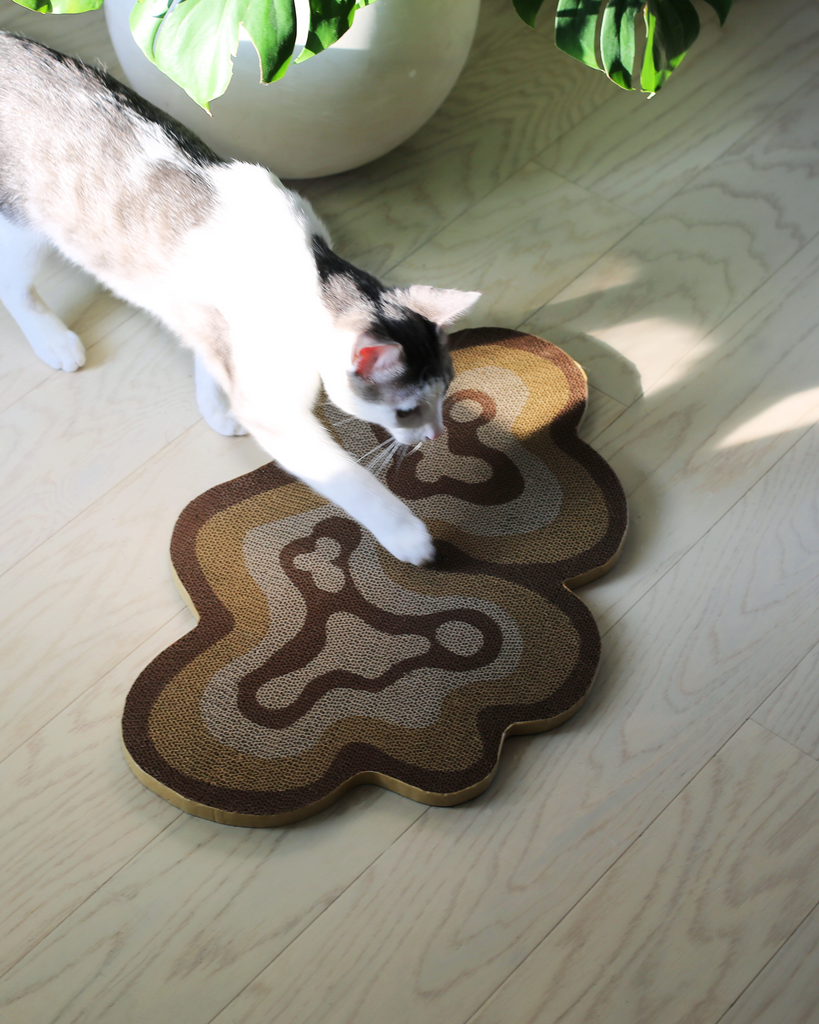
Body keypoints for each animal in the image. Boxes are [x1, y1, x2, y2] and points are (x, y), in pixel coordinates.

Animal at [0, 29, 479, 569]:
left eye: (444, 392)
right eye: (405, 411)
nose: (435, 435)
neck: (312, 271)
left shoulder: (208, 321)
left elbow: (206, 357)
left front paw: (216, 406)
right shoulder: (273, 406)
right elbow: (349, 479)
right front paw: (407, 535)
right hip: (25, 224)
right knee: (12, 285)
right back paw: (53, 340)